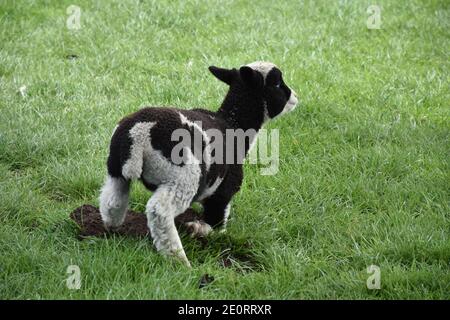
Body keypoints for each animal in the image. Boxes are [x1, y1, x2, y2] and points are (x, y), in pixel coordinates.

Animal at [100, 61, 300, 266]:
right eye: (277, 84)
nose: (295, 97)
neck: (233, 124)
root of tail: (140, 132)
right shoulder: (223, 190)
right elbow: (216, 222)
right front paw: (199, 230)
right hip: (184, 178)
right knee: (159, 211)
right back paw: (178, 259)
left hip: (116, 169)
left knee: (112, 199)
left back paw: (112, 227)